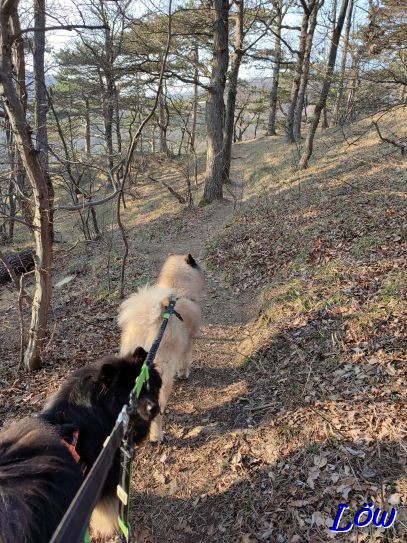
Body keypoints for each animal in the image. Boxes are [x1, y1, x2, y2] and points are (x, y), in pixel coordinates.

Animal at [118, 254, 204, 442]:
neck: (177, 288)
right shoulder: (187, 343)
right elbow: (185, 361)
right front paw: (184, 374)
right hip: (161, 379)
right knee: (156, 414)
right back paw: (157, 436)